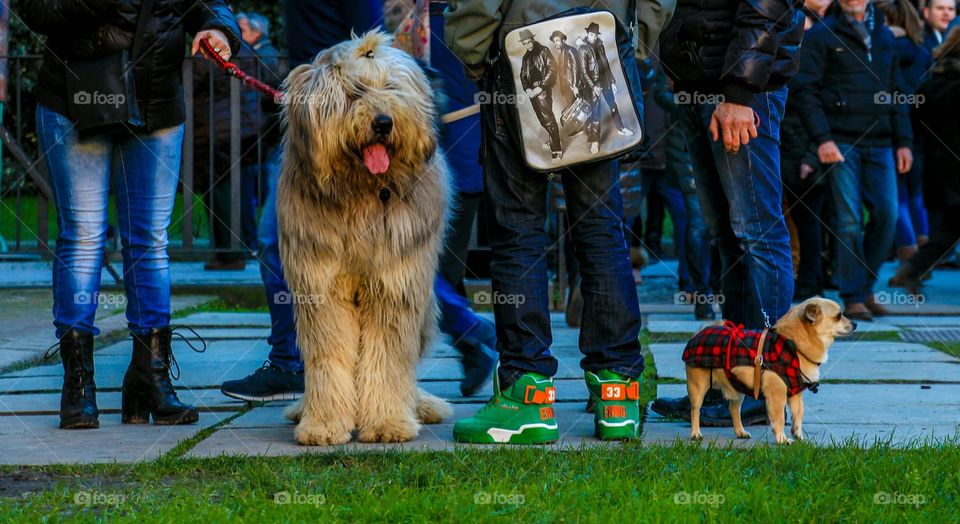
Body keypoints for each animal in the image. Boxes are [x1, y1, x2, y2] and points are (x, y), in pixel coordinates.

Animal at [278, 30, 454, 444]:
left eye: (389, 87)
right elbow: (329, 358)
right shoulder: (321, 289)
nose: (384, 122)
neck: (362, 194)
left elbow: (387, 359)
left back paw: (418, 406)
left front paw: (388, 422)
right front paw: (324, 424)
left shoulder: (396, 286)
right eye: (354, 91)